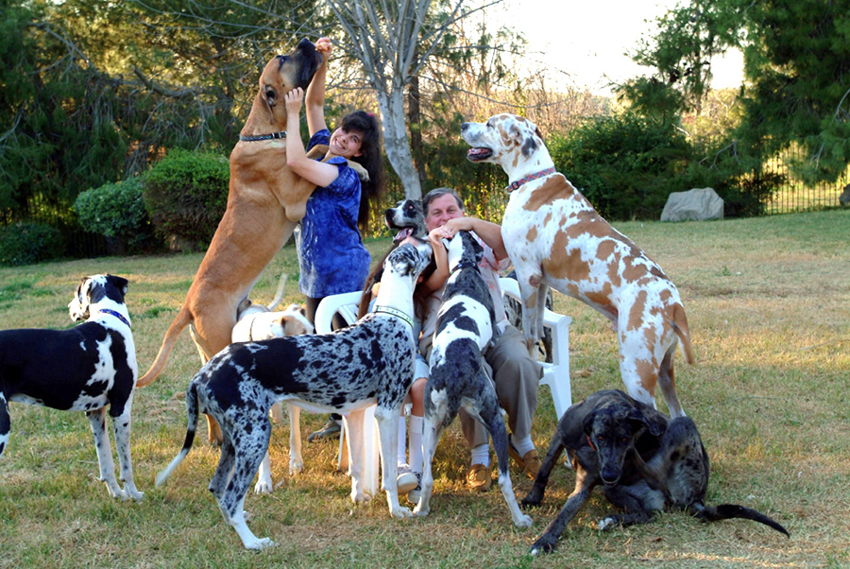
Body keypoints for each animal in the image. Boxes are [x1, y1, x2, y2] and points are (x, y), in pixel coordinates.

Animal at [0, 276, 142, 502]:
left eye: (76, 293)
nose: (68, 307)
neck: (110, 319)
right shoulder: (121, 410)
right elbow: (125, 466)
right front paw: (134, 495)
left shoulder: (96, 413)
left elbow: (106, 462)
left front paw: (117, 494)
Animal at [156, 241, 430, 552]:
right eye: (416, 249)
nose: (428, 242)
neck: (390, 315)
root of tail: (203, 374)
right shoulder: (388, 412)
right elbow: (390, 479)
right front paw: (396, 510)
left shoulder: (357, 413)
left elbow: (359, 467)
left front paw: (359, 497)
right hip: (255, 437)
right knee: (230, 496)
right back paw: (253, 541)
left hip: (234, 441)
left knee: (218, 488)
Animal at [412, 230, 528, 528]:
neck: (463, 268)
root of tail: (455, 377)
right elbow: (494, 334)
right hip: (494, 420)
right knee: (505, 481)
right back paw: (521, 519)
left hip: (430, 425)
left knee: (427, 478)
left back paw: (421, 509)